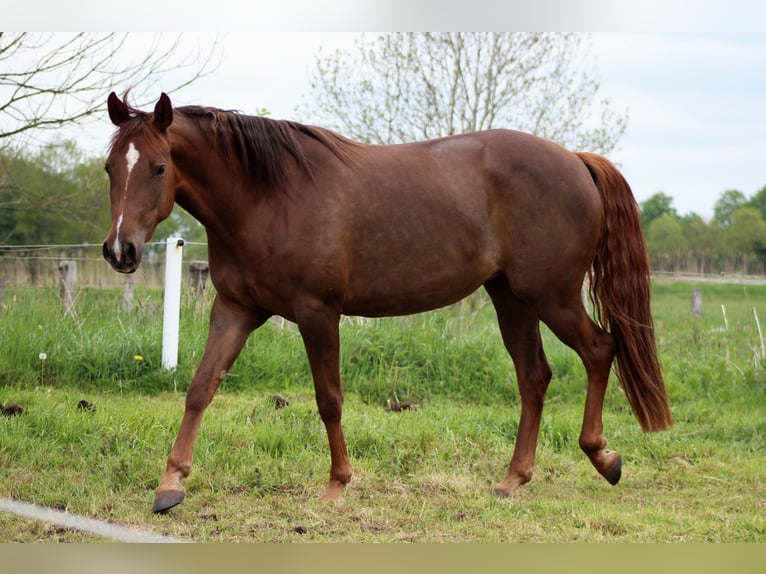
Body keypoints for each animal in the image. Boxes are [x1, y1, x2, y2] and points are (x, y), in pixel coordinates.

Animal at [102, 92, 672, 514]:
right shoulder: (236, 309)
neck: (267, 197)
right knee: (534, 376)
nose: (119, 250)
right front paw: (170, 485)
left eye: (158, 167)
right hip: (511, 297)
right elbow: (201, 388)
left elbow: (329, 399)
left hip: (551, 295)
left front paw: (337, 483)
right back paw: (513, 479)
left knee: (599, 350)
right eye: (110, 167)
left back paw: (602, 457)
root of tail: (576, 160)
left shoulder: (317, 313)